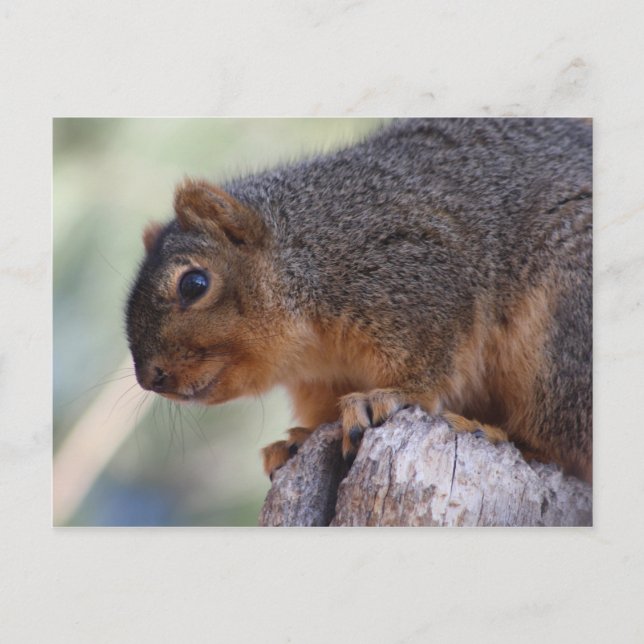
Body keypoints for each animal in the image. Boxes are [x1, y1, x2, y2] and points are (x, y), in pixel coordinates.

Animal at [126, 118, 592, 483]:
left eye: (194, 284)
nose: (152, 378)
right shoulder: (321, 378)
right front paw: (299, 438)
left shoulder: (413, 272)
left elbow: (430, 359)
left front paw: (390, 395)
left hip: (564, 327)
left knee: (560, 441)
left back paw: (494, 433)